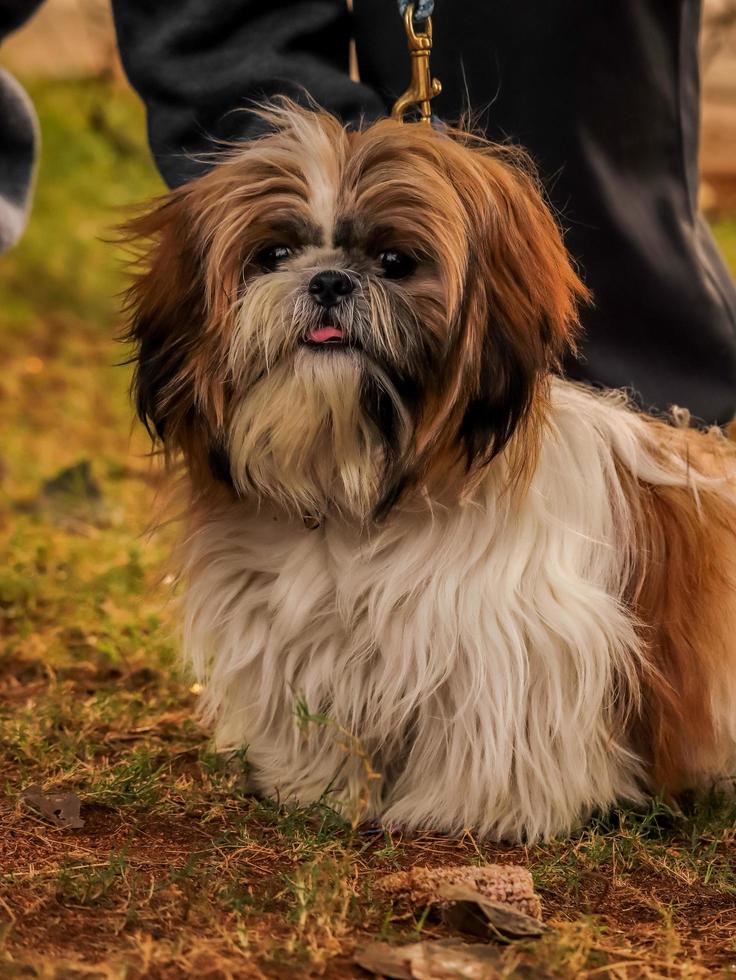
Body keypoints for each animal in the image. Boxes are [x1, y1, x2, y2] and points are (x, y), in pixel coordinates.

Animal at [123, 101, 736, 844]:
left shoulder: (514, 642)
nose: (329, 280)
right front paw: (314, 786)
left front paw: (472, 811)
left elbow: (493, 735)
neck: (361, 492)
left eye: (395, 261)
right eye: (273, 255)